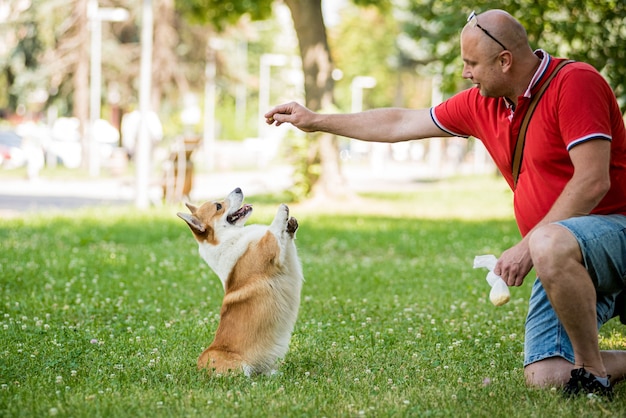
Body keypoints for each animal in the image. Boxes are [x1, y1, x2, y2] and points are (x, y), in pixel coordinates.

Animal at [176, 188, 302, 378]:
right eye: (218, 206)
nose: (238, 189)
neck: (227, 238)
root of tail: (198, 369)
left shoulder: (287, 259)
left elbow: (286, 239)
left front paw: (290, 225)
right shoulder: (269, 248)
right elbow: (272, 230)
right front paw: (282, 210)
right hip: (239, 366)